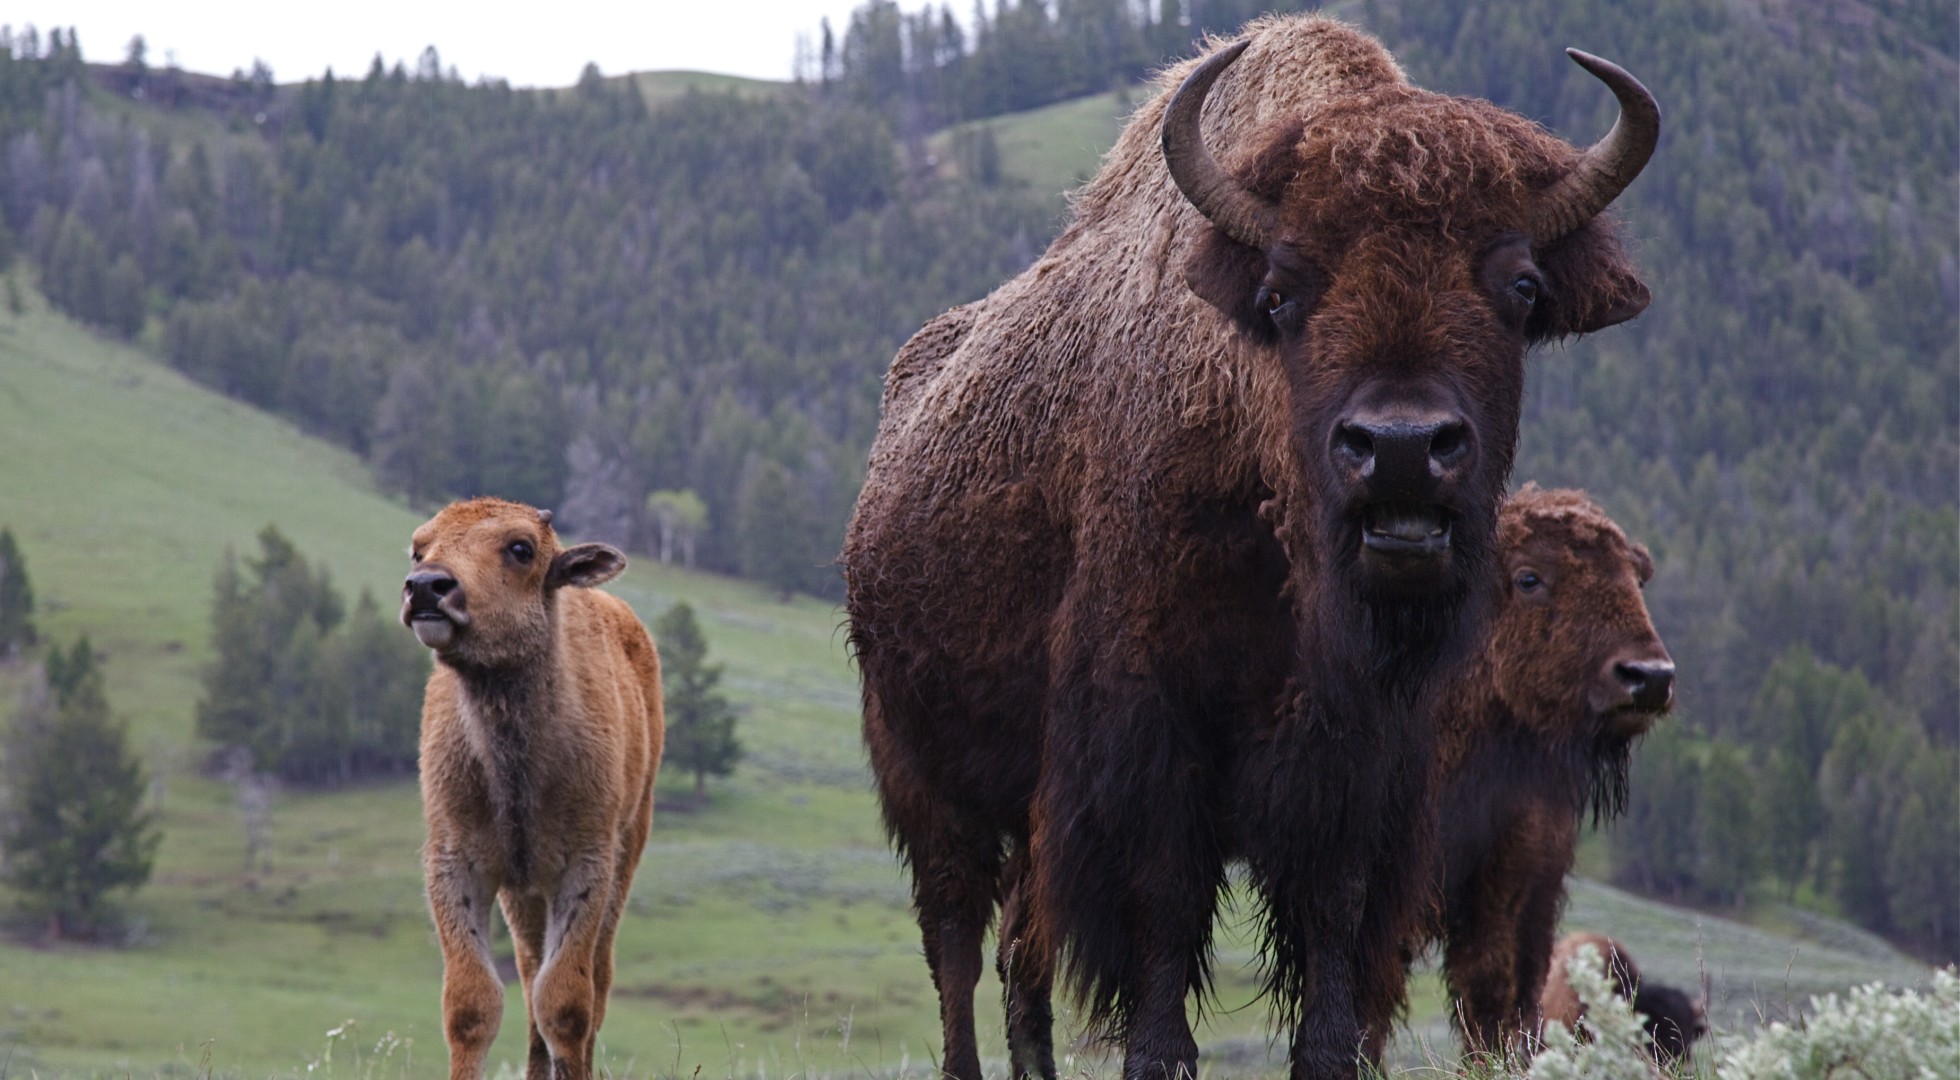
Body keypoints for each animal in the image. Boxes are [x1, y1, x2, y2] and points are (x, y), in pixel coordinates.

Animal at [842, 14, 1658, 1079]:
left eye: (1522, 286)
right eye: (1280, 291)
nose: (1401, 450)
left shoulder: (1365, 767)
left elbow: (1334, 931)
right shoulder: (1151, 735)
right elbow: (1161, 915)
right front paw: (1159, 1054)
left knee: (1022, 949)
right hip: (929, 775)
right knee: (956, 941)